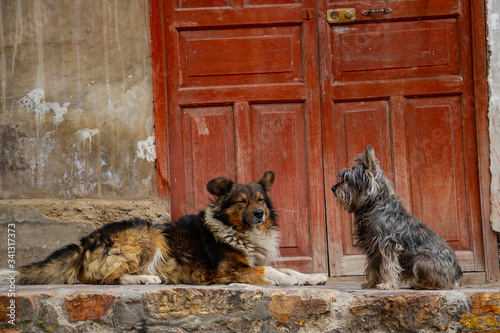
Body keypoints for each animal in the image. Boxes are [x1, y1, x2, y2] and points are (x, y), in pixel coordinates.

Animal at [14, 171, 328, 286]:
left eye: (261, 200)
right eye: (242, 202)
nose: (260, 214)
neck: (236, 230)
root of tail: (87, 240)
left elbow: (289, 269)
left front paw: (313, 277)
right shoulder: (229, 271)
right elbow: (271, 272)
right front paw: (290, 281)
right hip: (149, 236)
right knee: (103, 280)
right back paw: (147, 279)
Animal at [330, 145, 462, 288]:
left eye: (348, 179)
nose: (333, 188)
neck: (374, 204)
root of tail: (455, 276)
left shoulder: (387, 245)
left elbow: (388, 265)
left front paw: (387, 284)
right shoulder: (372, 247)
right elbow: (373, 267)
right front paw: (372, 283)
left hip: (421, 259)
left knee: (442, 284)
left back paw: (418, 284)